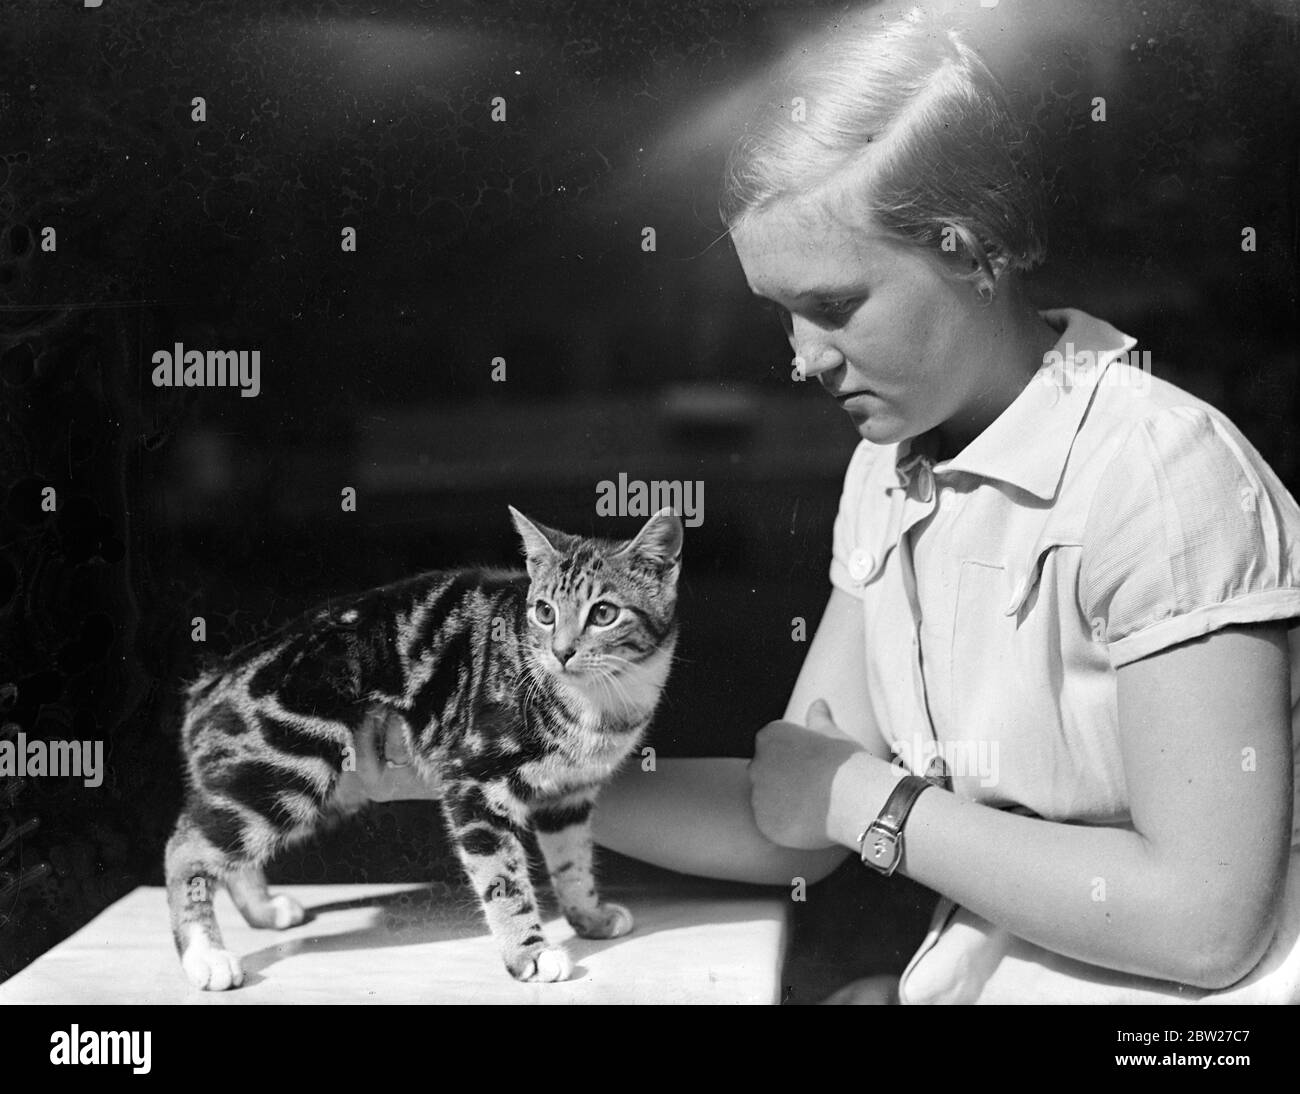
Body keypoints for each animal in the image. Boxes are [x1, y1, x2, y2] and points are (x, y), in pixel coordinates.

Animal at [165, 506, 681, 982]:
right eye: (545, 612)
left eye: (604, 613)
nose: (562, 652)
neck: (601, 700)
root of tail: (210, 683)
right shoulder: (474, 780)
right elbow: (503, 879)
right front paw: (529, 954)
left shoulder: (568, 793)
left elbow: (574, 862)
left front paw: (588, 917)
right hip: (291, 766)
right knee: (187, 847)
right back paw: (205, 956)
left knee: (228, 846)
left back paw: (263, 911)